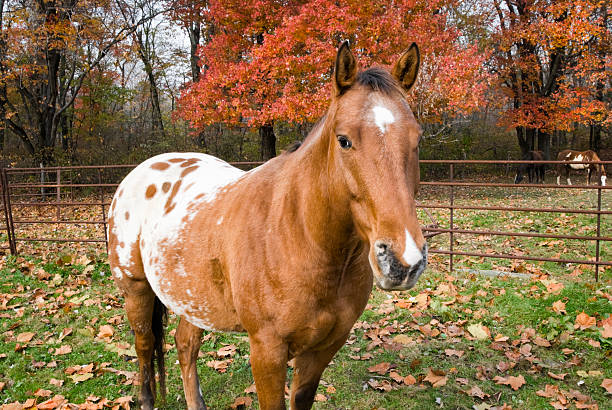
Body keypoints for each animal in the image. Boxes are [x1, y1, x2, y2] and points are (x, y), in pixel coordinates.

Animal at [109, 41, 426, 410]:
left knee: (185, 346)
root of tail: (144, 169)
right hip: (136, 290)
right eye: (344, 140)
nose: (404, 261)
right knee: (145, 347)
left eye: (417, 139)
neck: (299, 237)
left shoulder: (322, 350)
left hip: (193, 298)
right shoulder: (267, 352)